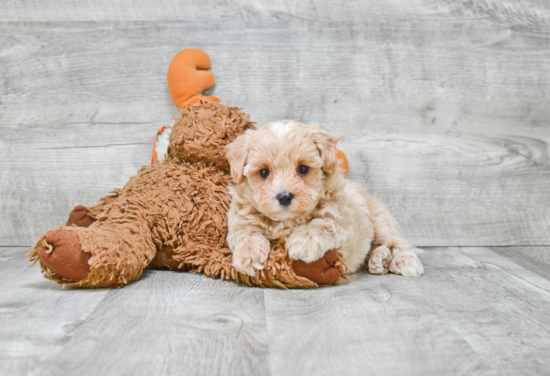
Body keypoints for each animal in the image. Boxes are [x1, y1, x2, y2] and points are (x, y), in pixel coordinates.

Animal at [226, 120, 424, 280]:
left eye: (303, 169)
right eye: (263, 172)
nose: (284, 196)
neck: (287, 221)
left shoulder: (343, 220)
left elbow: (322, 224)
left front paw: (301, 242)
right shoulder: (240, 217)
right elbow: (244, 232)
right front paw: (248, 255)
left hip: (380, 220)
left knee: (398, 243)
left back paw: (404, 262)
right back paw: (379, 259)